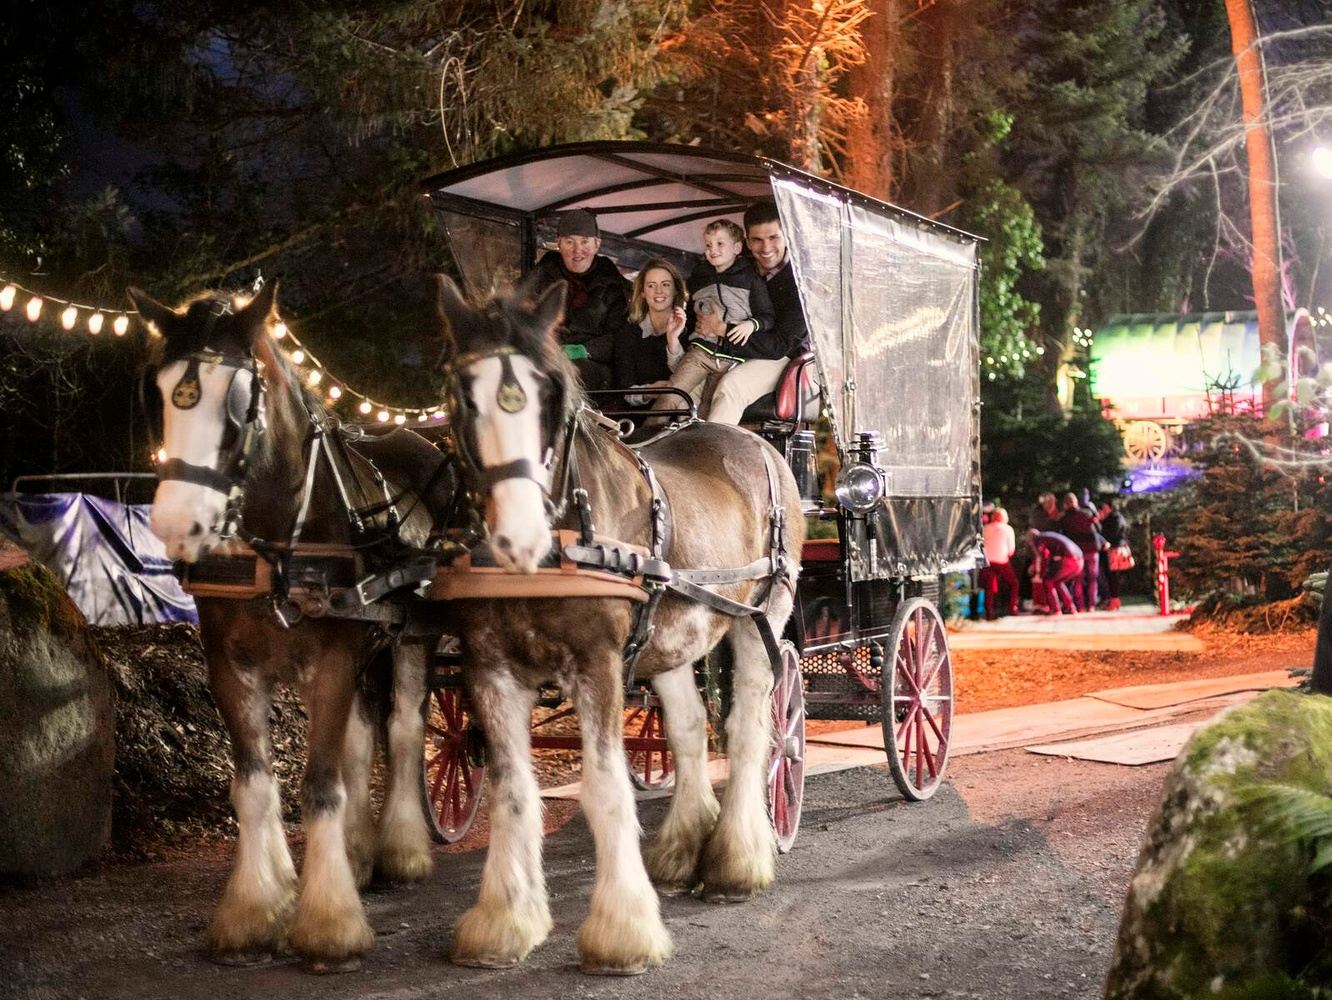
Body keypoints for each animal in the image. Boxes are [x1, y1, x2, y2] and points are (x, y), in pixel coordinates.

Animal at [129, 284, 455, 974]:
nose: (176, 523)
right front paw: (256, 910)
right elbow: (255, 786)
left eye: (238, 400)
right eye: (157, 390)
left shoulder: (331, 660)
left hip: (411, 640)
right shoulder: (230, 666)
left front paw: (328, 925)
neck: (277, 539)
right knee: (363, 737)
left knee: (405, 731)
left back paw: (403, 850)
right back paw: (359, 856)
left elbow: (322, 784)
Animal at [434, 278, 799, 974]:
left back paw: (736, 861)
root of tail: (759, 441)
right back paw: (682, 850)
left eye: (550, 393)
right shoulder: (488, 667)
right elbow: (512, 791)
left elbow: (605, 790)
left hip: (761, 617)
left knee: (750, 728)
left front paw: (622, 933)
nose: (517, 536)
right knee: (688, 728)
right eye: (461, 394)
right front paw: (502, 925)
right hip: (675, 634)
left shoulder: (597, 665)